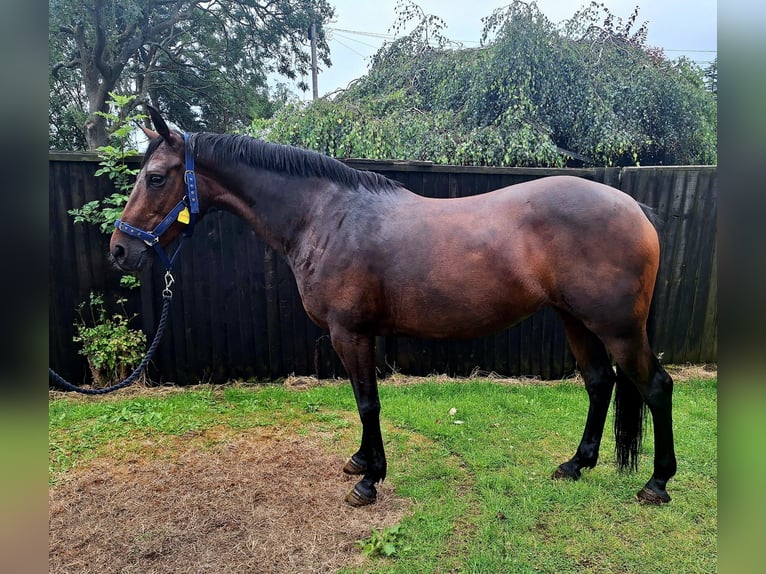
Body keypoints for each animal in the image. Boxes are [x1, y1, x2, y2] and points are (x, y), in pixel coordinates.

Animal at [109, 107, 680, 508]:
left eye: (155, 176)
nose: (119, 250)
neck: (325, 216)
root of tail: (635, 208)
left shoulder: (351, 333)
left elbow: (368, 402)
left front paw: (369, 480)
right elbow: (363, 400)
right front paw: (361, 461)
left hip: (619, 328)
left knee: (655, 386)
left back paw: (656, 483)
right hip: (575, 320)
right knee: (599, 383)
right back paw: (575, 465)